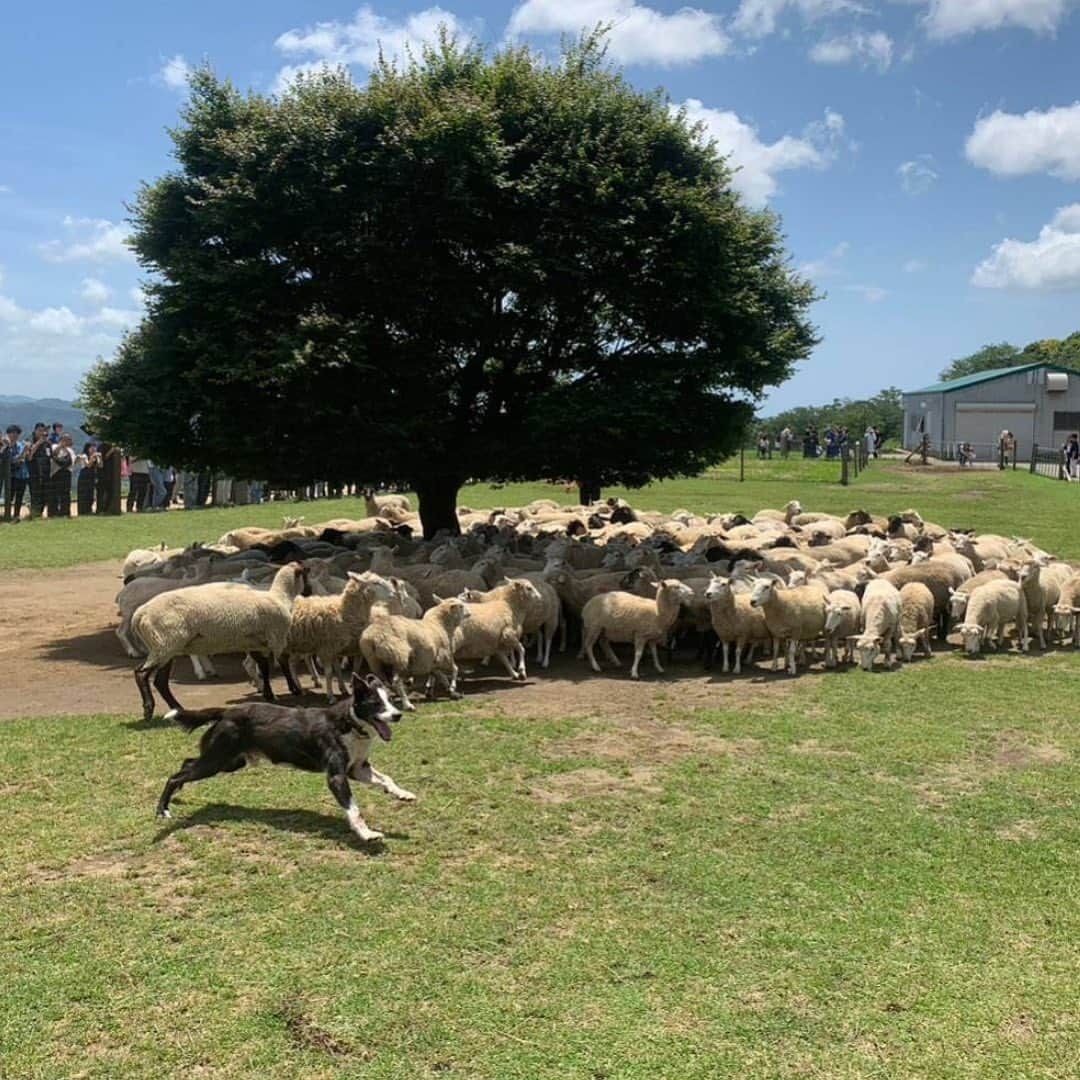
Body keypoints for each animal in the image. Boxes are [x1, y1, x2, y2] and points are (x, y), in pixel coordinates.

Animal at [156, 673, 412, 842]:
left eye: (392, 700)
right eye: (376, 704)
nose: (398, 715)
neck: (349, 723)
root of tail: (226, 711)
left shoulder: (357, 768)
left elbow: (386, 779)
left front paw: (403, 794)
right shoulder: (337, 777)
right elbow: (353, 808)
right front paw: (366, 833)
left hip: (230, 762)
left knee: (186, 763)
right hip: (216, 761)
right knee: (175, 776)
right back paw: (162, 810)